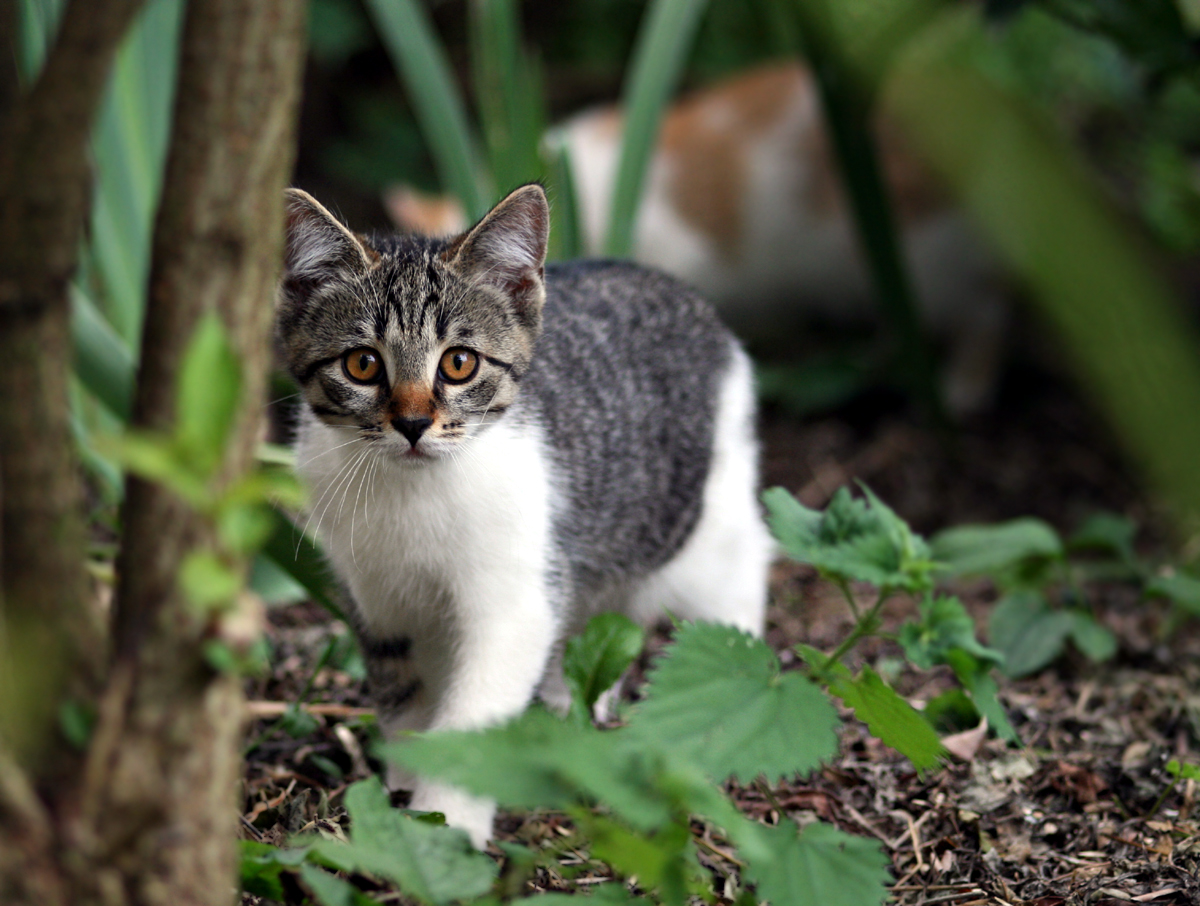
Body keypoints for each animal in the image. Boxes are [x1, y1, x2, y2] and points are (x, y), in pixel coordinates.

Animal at [276, 184, 772, 849]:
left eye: (459, 363)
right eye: (362, 364)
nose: (413, 423)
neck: (413, 492)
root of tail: (684, 294)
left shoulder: (512, 599)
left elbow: (475, 710)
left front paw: (447, 822)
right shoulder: (377, 598)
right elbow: (401, 689)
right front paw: (406, 780)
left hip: (705, 521)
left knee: (741, 568)